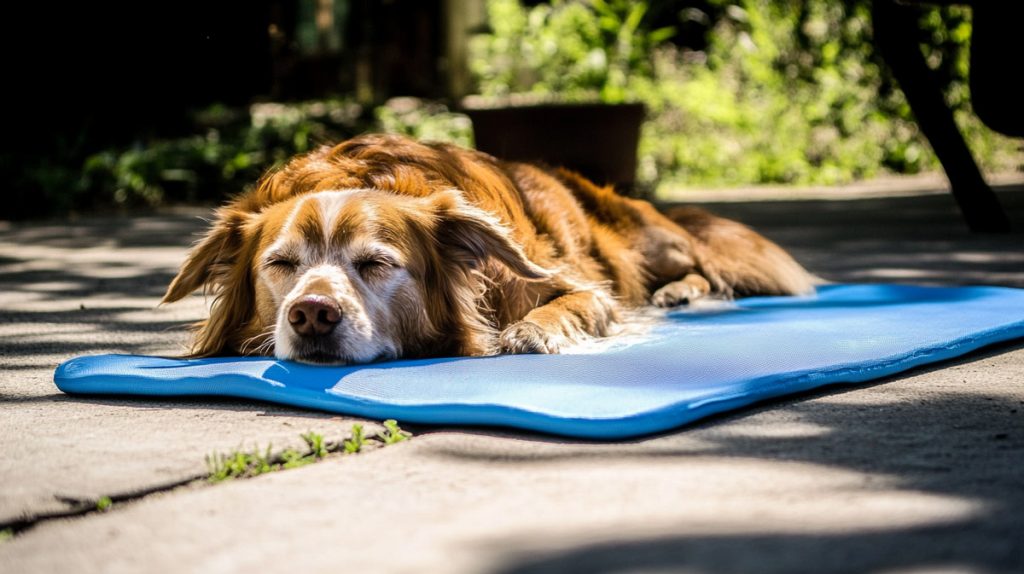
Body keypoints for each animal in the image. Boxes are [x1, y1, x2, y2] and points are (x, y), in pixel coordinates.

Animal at [161, 134, 815, 362]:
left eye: (376, 264)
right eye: (280, 265)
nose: (312, 314)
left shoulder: (587, 288)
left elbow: (569, 305)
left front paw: (532, 330)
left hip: (652, 244)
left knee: (709, 269)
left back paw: (682, 291)